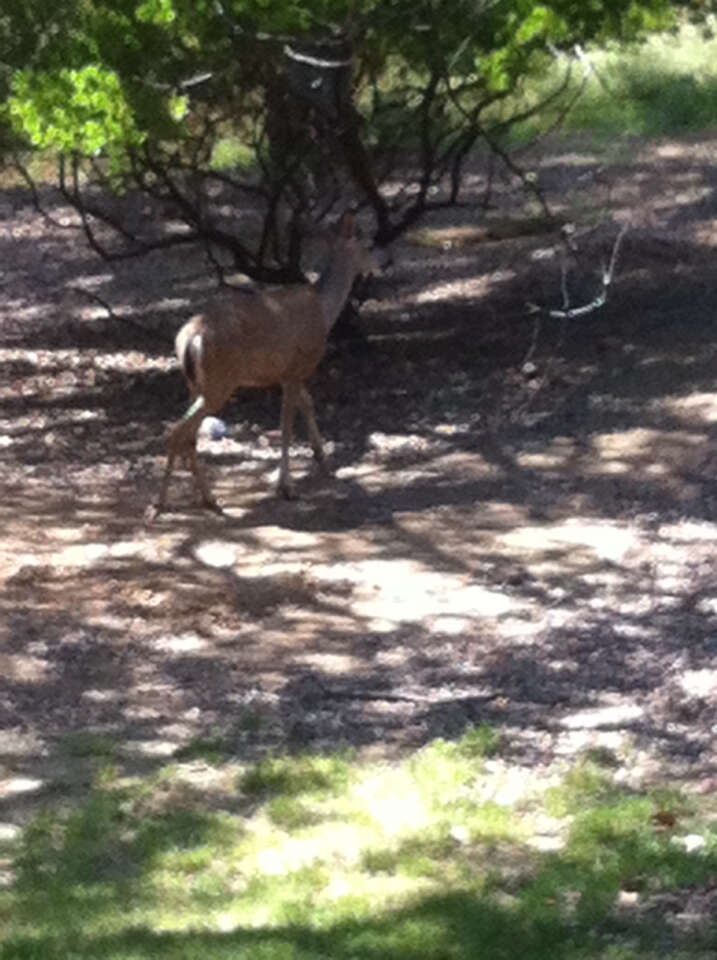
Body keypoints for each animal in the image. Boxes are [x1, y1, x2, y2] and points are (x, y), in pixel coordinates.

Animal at [148, 210, 378, 516]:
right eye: (368, 245)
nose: (382, 262)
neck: (324, 310)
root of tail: (190, 338)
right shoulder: (298, 367)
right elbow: (286, 426)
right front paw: (286, 487)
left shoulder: (287, 371)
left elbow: (308, 403)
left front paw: (320, 455)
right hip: (219, 381)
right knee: (178, 432)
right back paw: (161, 503)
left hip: (195, 383)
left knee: (189, 435)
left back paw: (206, 498)